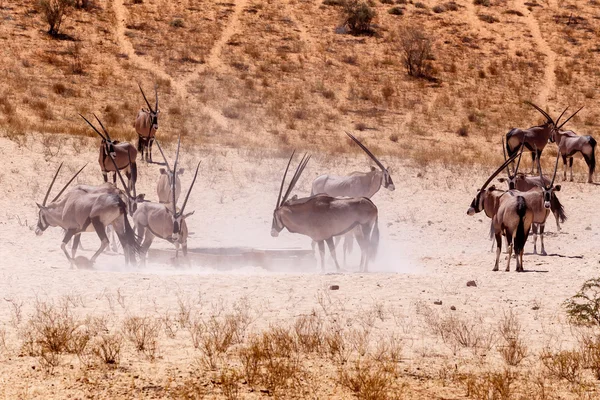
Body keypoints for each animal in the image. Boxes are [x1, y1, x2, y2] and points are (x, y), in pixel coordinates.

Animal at [134, 138, 202, 266]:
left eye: (181, 220)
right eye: (171, 219)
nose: (175, 236)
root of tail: (140, 207)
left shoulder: (184, 243)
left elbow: (187, 260)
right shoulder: (169, 238)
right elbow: (177, 251)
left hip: (150, 235)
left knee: (143, 250)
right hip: (141, 229)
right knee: (137, 247)